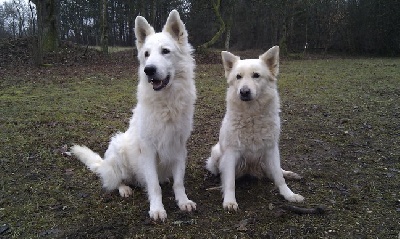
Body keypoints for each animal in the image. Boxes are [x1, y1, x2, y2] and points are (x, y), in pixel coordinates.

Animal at [72, 10, 198, 221]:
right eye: (146, 54)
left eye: (165, 51)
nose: (149, 70)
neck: (166, 103)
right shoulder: (148, 150)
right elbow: (154, 186)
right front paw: (157, 209)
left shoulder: (179, 146)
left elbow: (179, 182)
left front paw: (183, 201)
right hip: (118, 148)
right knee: (116, 181)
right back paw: (124, 188)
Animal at [206, 45, 304, 210]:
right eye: (238, 77)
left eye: (256, 75)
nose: (244, 92)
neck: (252, 115)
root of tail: (250, 170)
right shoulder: (231, 153)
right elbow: (230, 181)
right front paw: (230, 201)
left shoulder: (271, 149)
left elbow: (279, 178)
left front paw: (289, 195)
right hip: (217, 152)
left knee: (277, 171)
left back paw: (289, 174)